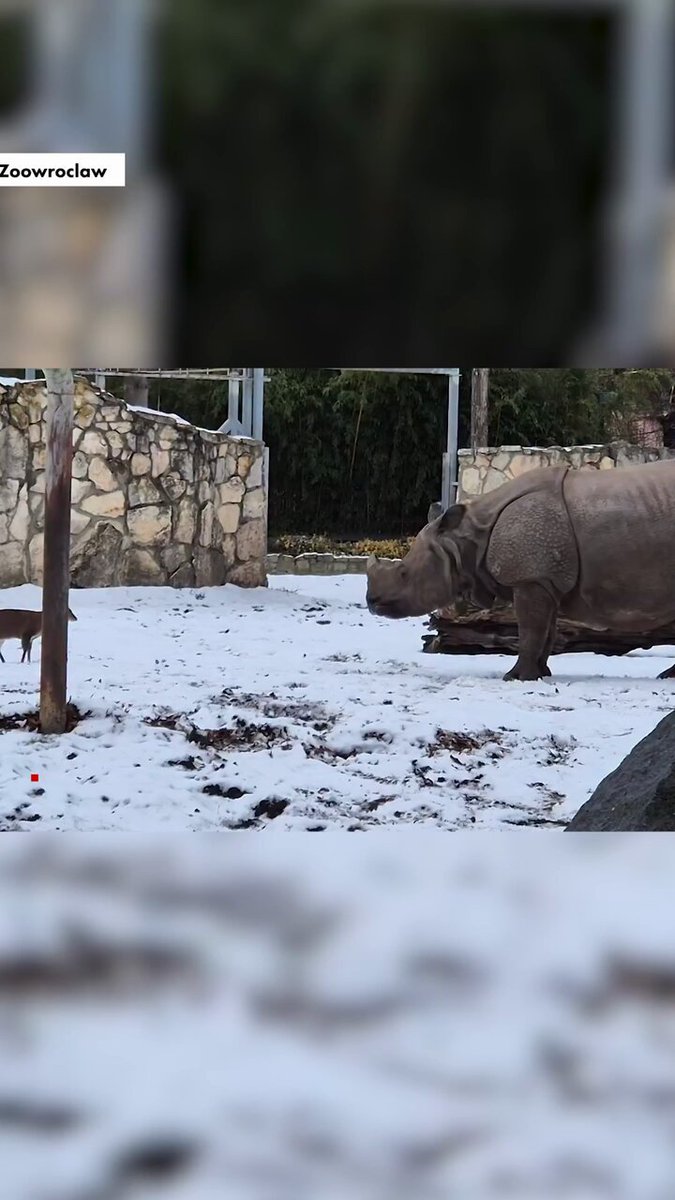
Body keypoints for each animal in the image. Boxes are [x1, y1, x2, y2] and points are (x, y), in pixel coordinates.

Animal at [366, 460, 675, 681]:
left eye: (404, 573)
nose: (371, 602)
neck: (467, 536)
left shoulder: (530, 579)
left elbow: (529, 630)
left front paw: (515, 677)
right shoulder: (545, 578)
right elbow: (547, 630)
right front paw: (540, 674)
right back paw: (666, 678)